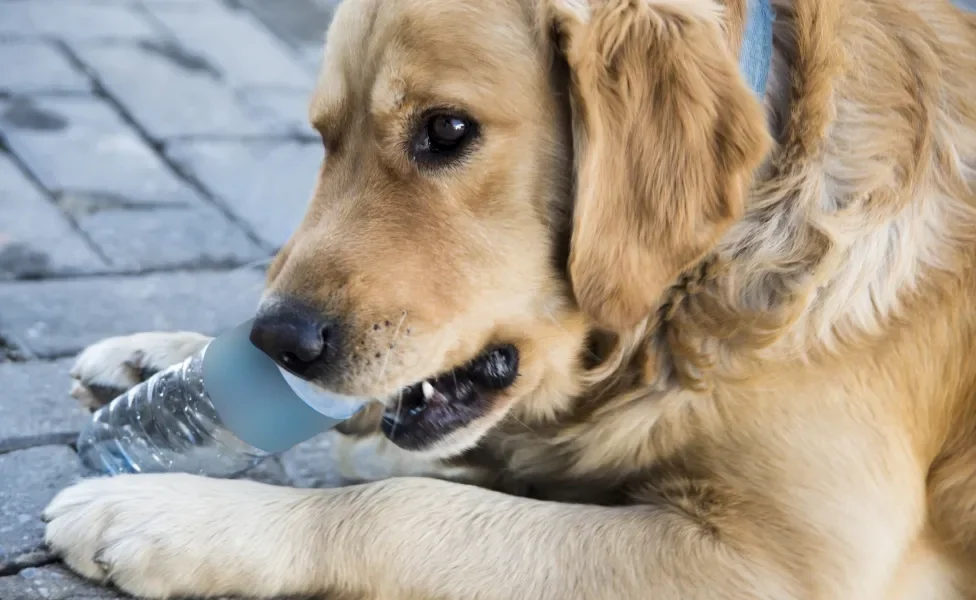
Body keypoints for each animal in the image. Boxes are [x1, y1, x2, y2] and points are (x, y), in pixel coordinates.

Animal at [38, 0, 976, 596]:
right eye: (324, 138)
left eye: (446, 130)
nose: (278, 342)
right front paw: (167, 362)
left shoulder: (787, 561)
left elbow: (403, 509)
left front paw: (177, 515)